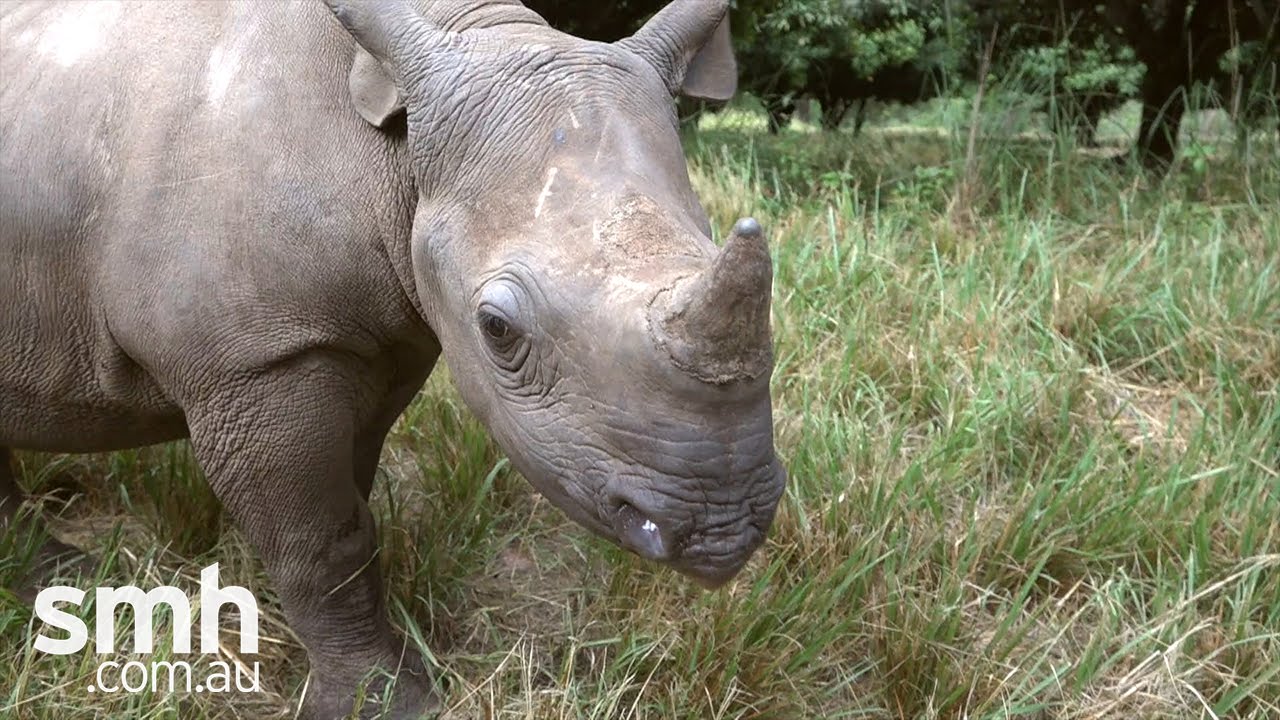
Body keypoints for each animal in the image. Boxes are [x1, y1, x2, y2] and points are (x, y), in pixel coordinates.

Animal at [0, 0, 786, 716]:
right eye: (497, 328)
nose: (723, 530)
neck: (397, 158)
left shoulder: (378, 341)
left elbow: (350, 509)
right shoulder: (255, 360)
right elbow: (322, 541)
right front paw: (383, 703)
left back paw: (58, 577)